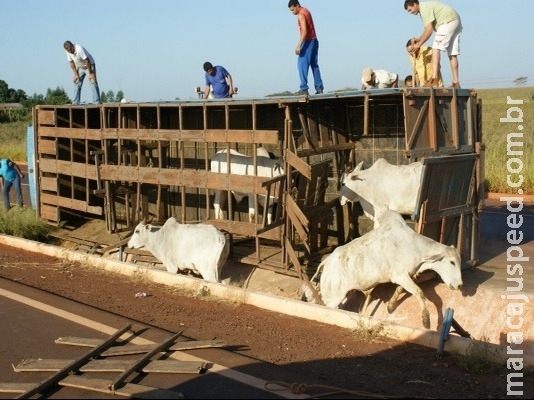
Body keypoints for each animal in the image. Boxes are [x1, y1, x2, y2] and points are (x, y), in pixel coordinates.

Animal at [306, 209, 464, 328]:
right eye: (452, 262)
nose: (459, 284)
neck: (415, 247)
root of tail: (326, 262)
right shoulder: (400, 275)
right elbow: (419, 292)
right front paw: (426, 320)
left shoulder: (407, 276)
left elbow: (402, 289)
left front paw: (390, 306)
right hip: (332, 297)